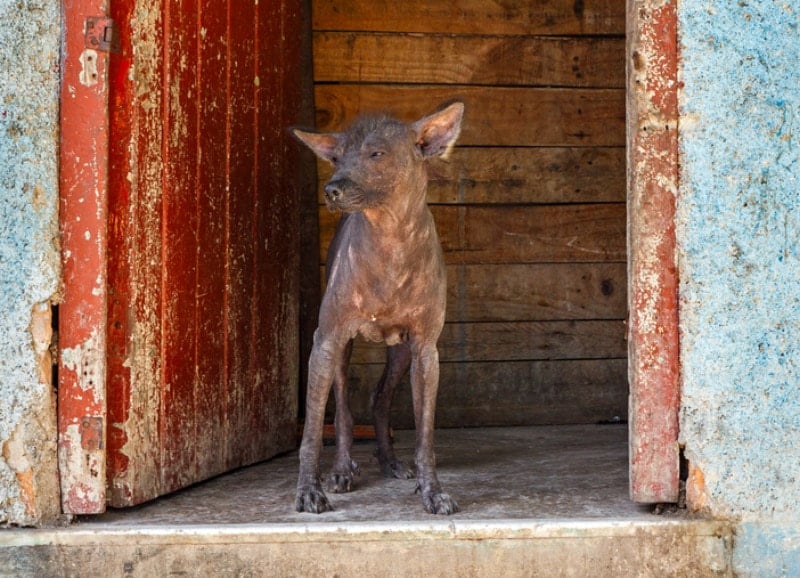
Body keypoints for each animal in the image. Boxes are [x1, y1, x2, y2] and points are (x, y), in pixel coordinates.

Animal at [290, 99, 462, 512]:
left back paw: (389, 461)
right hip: (339, 350)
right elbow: (313, 432)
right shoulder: (326, 340)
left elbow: (425, 436)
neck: (391, 241)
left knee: (380, 399)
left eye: (376, 154)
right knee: (344, 411)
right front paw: (309, 489)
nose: (332, 189)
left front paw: (432, 490)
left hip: (400, 353)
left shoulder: (425, 350)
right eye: (336, 157)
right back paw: (342, 469)